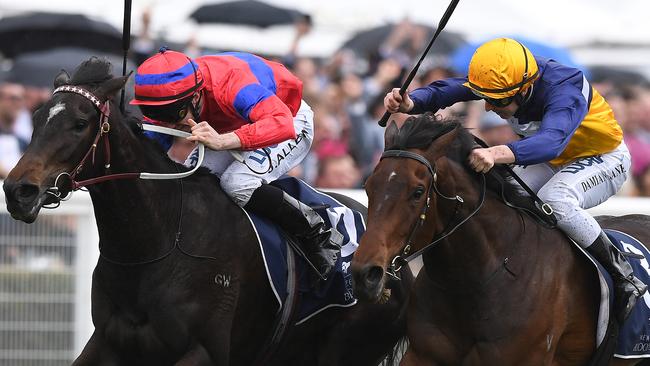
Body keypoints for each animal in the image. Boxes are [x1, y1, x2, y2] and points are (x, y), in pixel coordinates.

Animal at [2, 58, 410, 366]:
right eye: (36, 118)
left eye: (79, 123)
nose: (18, 190)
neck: (159, 240)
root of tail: (398, 265)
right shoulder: (107, 342)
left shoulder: (204, 350)